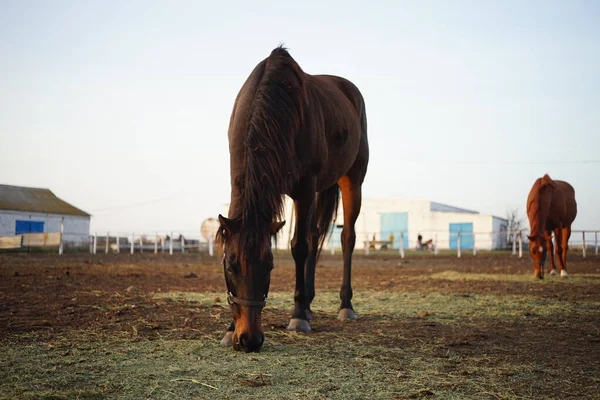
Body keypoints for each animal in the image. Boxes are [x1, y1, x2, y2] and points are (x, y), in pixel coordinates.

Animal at [213, 47, 368, 354]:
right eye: (230, 266)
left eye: (269, 267)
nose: (249, 340)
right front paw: (228, 328)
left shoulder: (304, 188)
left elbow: (299, 247)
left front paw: (297, 317)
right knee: (316, 233)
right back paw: (308, 304)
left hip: (352, 180)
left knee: (346, 239)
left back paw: (344, 305)